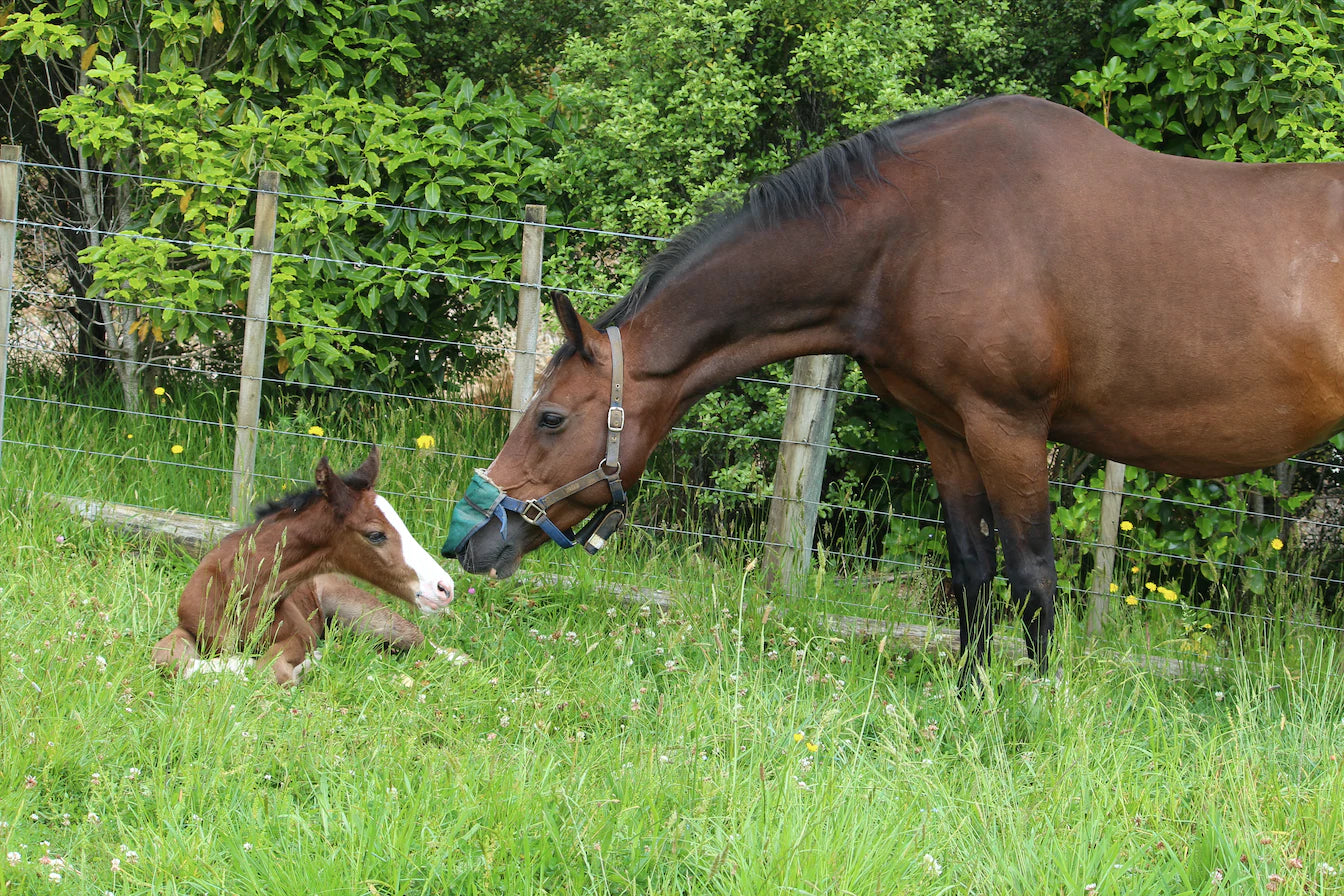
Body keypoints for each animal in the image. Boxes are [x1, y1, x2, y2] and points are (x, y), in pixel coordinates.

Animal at [153, 448, 462, 687]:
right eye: (376, 535)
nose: (444, 587)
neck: (239, 592)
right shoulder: (188, 627)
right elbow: (164, 656)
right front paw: (229, 665)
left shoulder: (300, 635)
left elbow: (270, 670)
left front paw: (304, 664)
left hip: (366, 616)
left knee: (423, 643)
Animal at [446, 96, 1344, 687]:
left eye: (551, 416)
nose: (469, 542)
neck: (915, 231)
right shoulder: (944, 426)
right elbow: (973, 570)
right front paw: (969, 696)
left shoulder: (1010, 425)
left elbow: (1033, 576)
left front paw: (1038, 706)